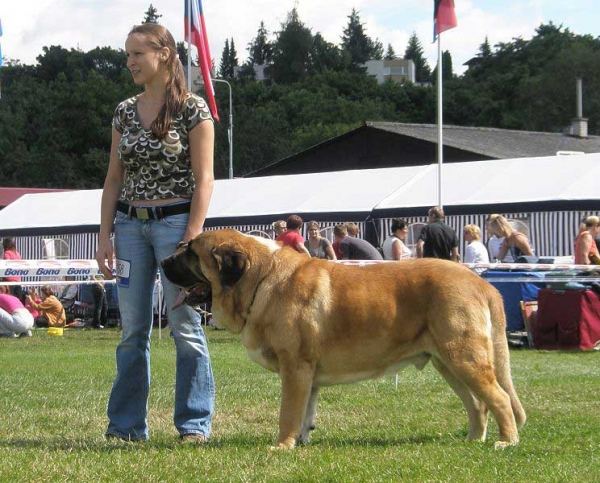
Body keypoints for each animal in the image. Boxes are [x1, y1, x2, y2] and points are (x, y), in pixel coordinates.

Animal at [163, 230, 524, 450]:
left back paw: (506, 441)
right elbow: (304, 411)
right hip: (447, 362)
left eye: (191, 253)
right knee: (477, 403)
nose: (164, 261)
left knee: (499, 398)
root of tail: (481, 283)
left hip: (464, 357)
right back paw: (473, 439)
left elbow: (288, 411)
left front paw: (281, 446)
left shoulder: (295, 368)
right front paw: (301, 441)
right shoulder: (306, 375)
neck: (260, 279)